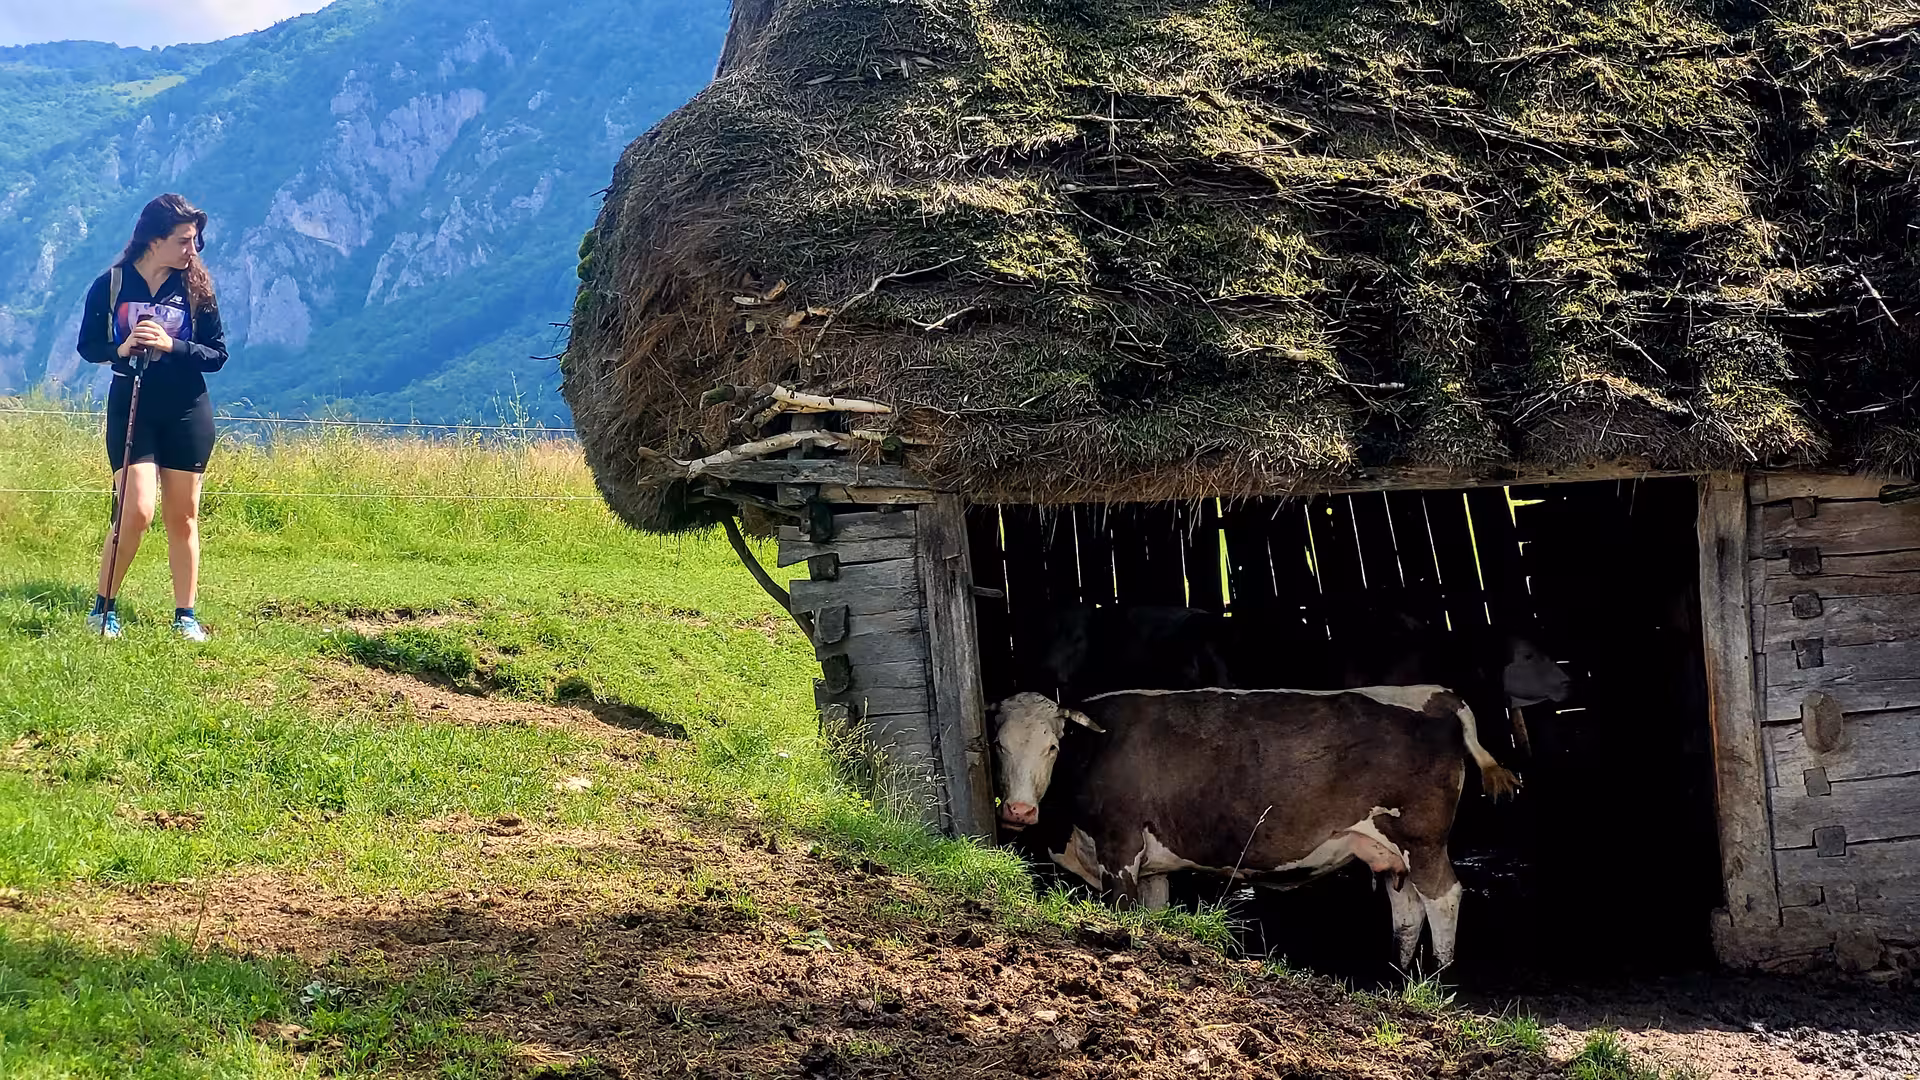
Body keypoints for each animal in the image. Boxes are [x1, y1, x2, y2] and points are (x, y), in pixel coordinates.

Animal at [990, 686, 1522, 971]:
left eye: (1052, 746)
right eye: (999, 745)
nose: (1018, 811)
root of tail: (1440, 696)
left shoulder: (1119, 848)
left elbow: (1122, 913)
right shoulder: (1152, 866)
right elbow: (1155, 917)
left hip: (1423, 840)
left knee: (1444, 897)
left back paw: (1440, 981)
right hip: (1386, 849)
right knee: (1407, 909)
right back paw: (1399, 979)